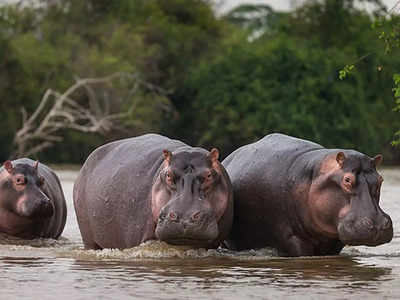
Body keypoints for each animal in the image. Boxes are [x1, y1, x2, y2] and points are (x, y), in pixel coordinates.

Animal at [222, 133, 394, 255]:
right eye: (347, 180)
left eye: (380, 179)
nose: (378, 224)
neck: (314, 175)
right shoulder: (292, 237)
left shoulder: (335, 241)